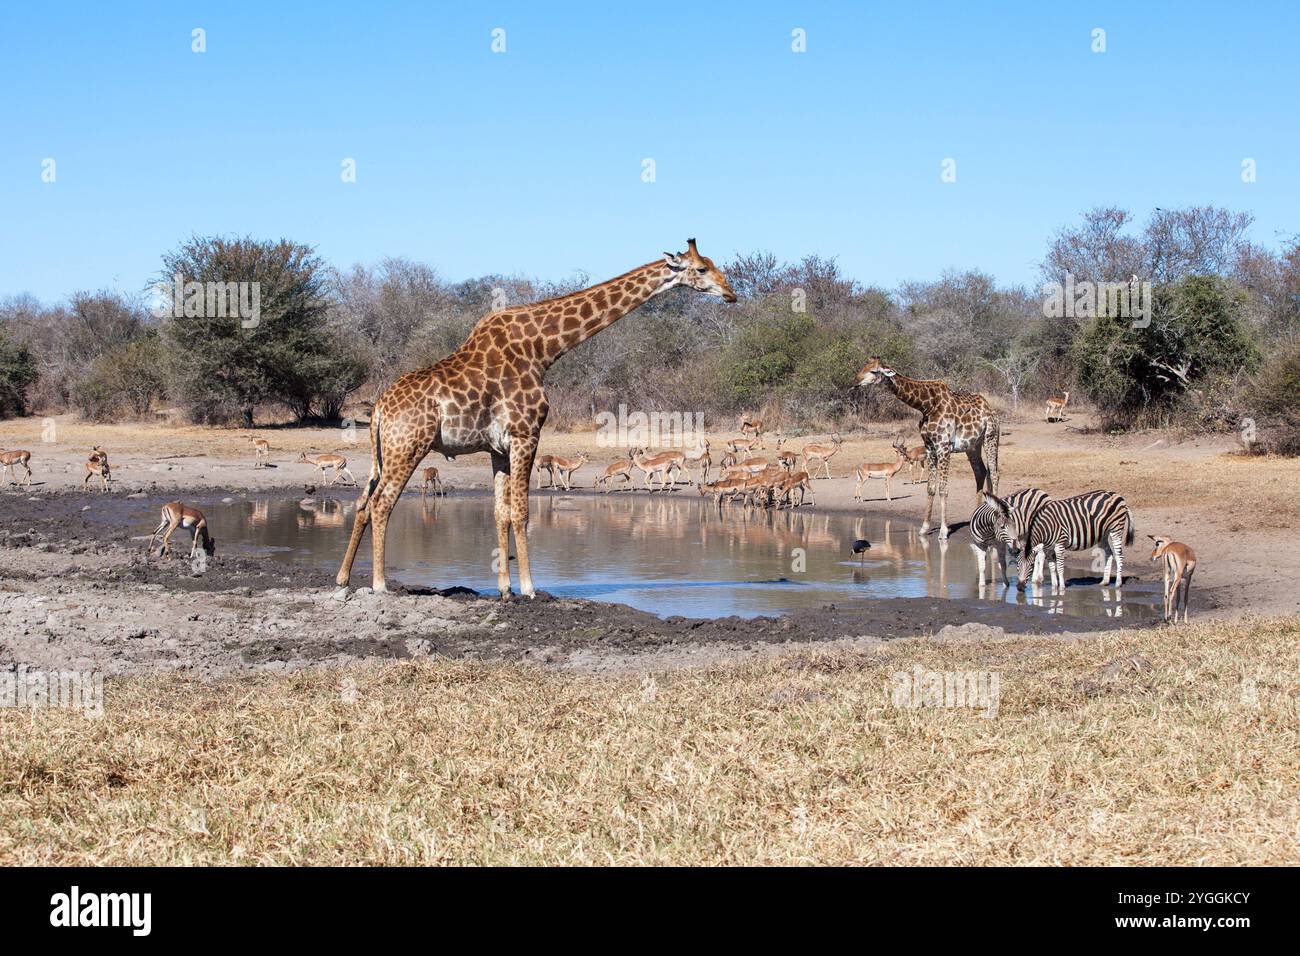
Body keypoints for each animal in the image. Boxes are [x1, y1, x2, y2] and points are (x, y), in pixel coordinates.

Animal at [335, 239, 737, 596]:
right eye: (702, 268)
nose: (731, 292)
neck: (543, 349)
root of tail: (380, 409)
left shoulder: (498, 448)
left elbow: (500, 512)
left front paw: (505, 590)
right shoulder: (526, 434)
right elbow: (522, 512)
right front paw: (529, 589)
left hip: (383, 452)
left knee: (363, 501)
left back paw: (343, 581)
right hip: (408, 447)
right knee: (381, 503)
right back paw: (379, 584)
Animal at [855, 357, 1000, 540]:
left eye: (874, 371)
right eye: (864, 367)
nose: (856, 381)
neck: (926, 405)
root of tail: (992, 412)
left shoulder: (943, 446)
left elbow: (943, 489)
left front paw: (944, 531)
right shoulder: (930, 448)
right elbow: (930, 488)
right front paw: (924, 528)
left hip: (991, 438)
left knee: (994, 473)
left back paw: (996, 519)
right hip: (973, 446)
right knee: (981, 472)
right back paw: (977, 518)